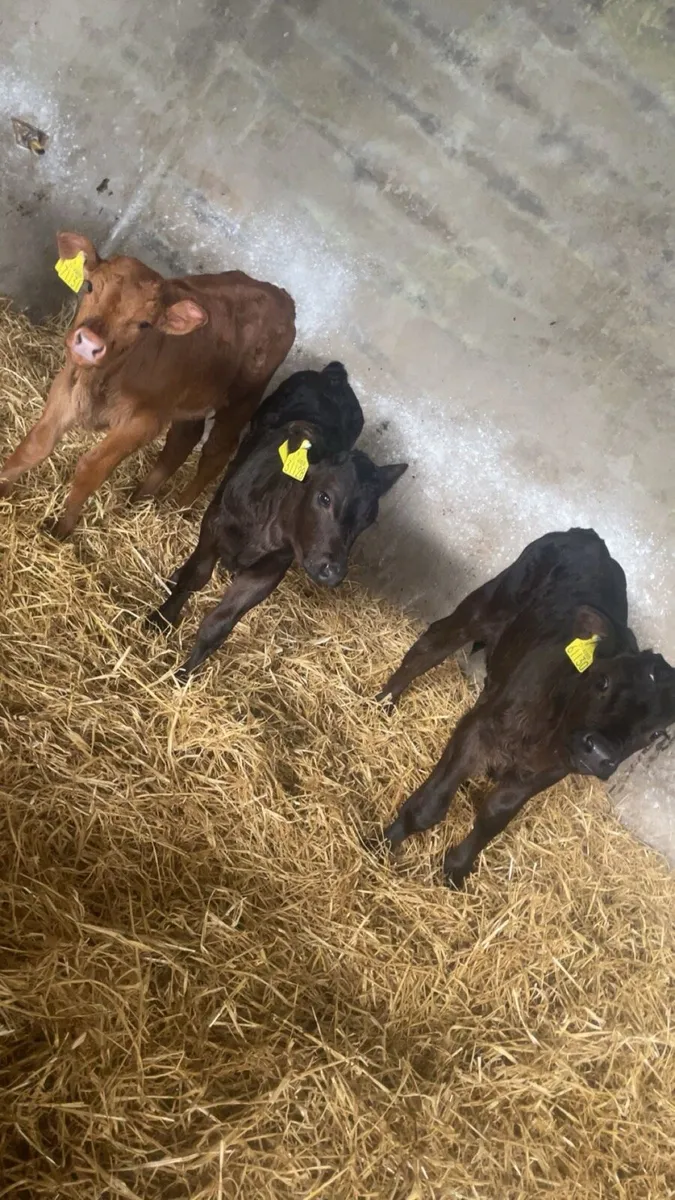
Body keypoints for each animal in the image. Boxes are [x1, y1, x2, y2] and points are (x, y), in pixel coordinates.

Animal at [0, 232, 296, 537]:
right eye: (90, 286)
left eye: (144, 324)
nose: (89, 344)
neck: (101, 381)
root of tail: (281, 295)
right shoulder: (65, 387)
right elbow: (37, 445)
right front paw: (3, 489)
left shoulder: (143, 422)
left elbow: (91, 468)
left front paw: (62, 528)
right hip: (188, 397)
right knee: (183, 439)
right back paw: (139, 498)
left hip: (243, 398)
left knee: (217, 450)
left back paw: (180, 506)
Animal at [146, 361, 407, 678]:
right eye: (325, 498)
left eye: (367, 521)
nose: (333, 570)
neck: (267, 526)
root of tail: (333, 376)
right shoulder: (214, 525)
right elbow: (194, 577)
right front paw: (161, 619)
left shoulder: (271, 568)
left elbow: (219, 624)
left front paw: (184, 675)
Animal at [373, 529, 675, 887]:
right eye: (603, 681)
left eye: (655, 732)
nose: (600, 752)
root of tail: (591, 536)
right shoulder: (477, 733)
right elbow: (430, 806)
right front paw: (382, 843)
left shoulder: (544, 773)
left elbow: (495, 816)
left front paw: (458, 867)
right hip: (489, 603)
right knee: (431, 645)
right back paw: (382, 702)